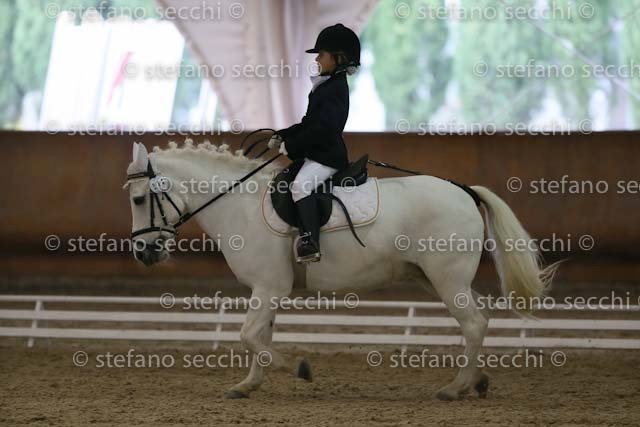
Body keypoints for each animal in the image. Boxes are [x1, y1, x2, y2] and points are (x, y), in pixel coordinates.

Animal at [123, 139, 559, 401]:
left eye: (140, 199)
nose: (143, 253)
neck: (238, 203)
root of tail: (463, 189)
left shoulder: (269, 287)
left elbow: (249, 336)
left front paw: (297, 367)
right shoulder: (268, 290)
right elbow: (258, 337)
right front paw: (248, 385)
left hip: (447, 279)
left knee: (473, 324)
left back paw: (455, 388)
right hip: (438, 279)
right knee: (479, 319)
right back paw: (478, 381)